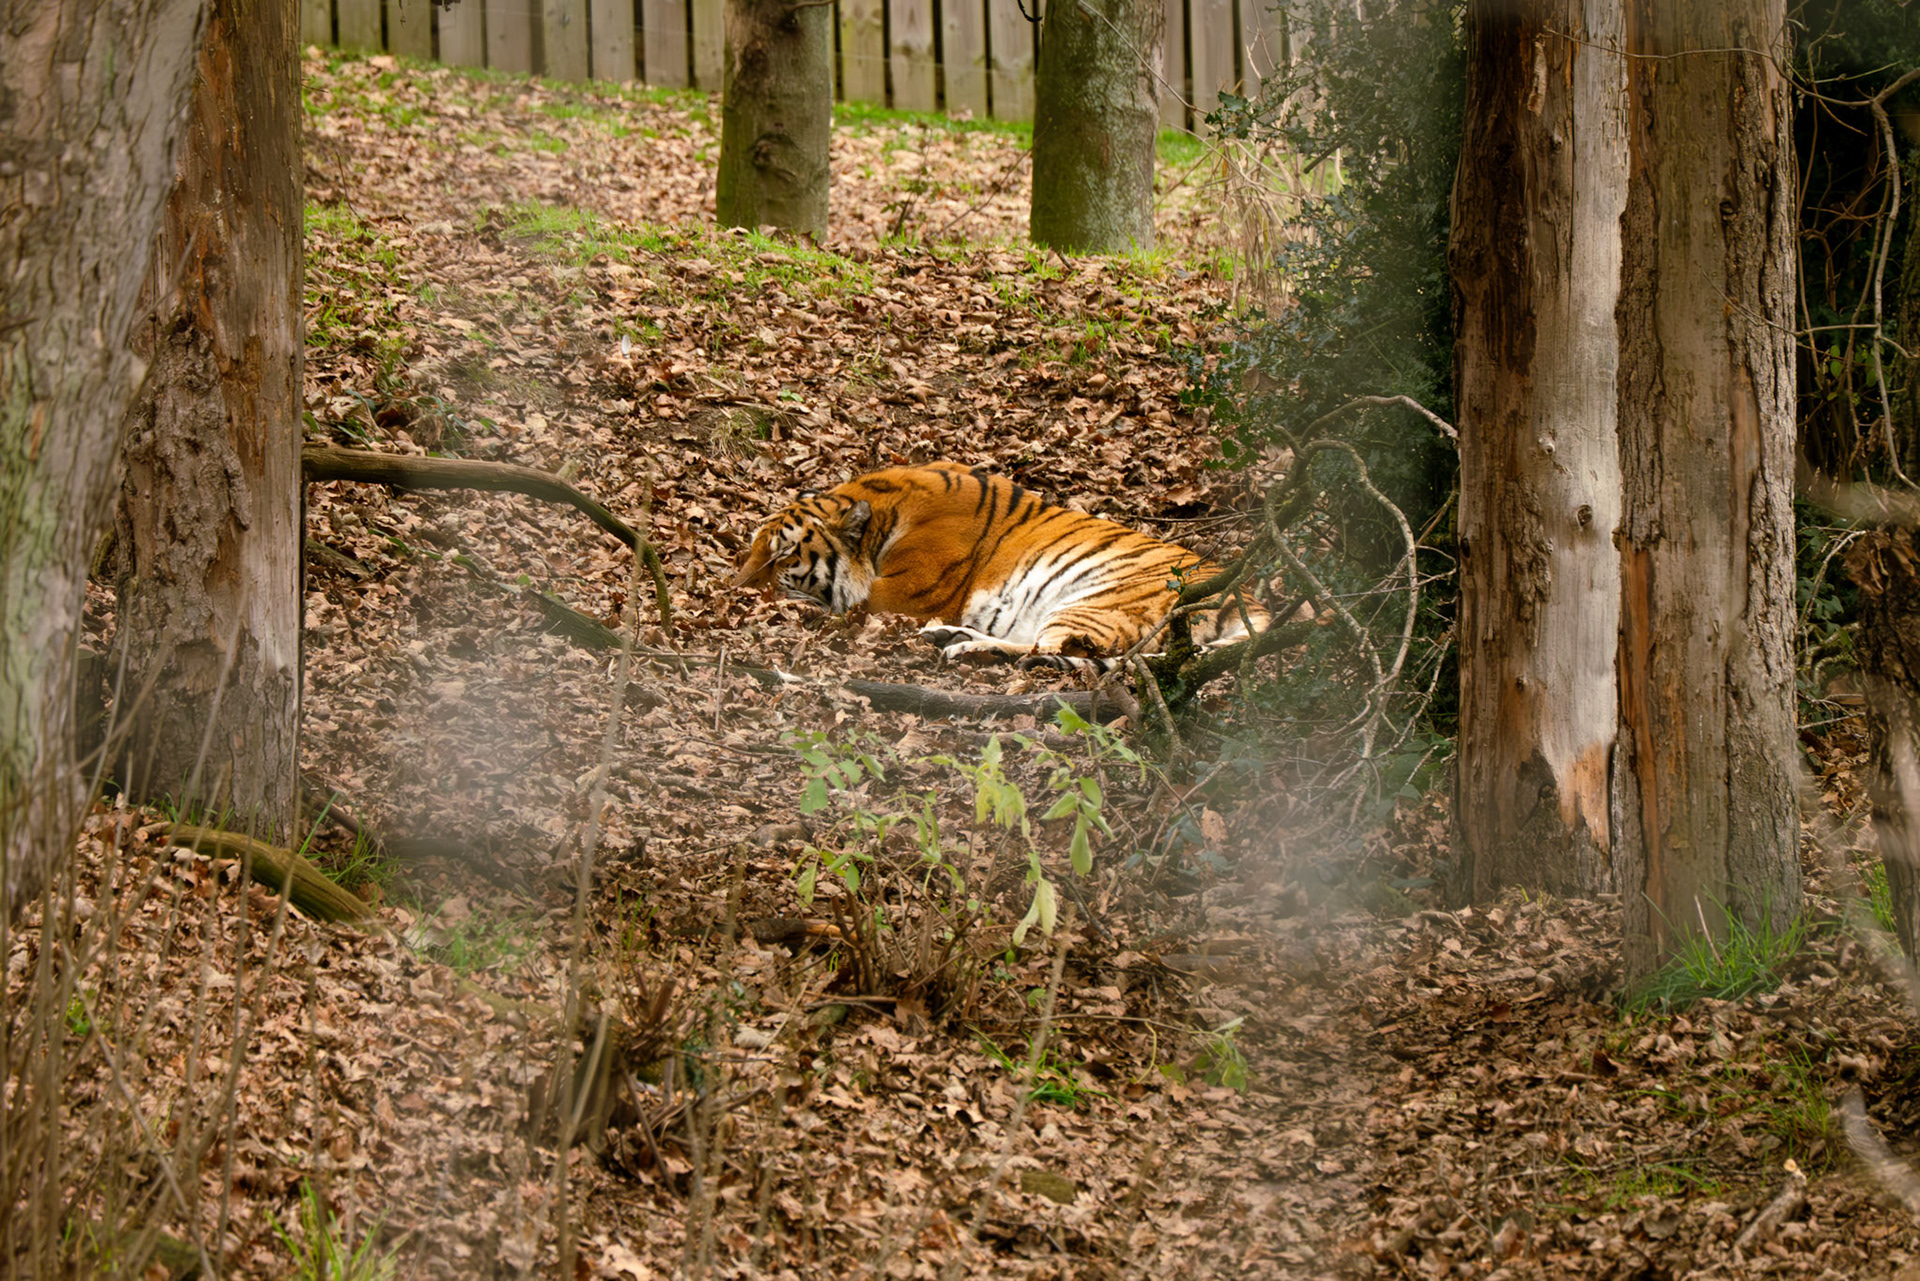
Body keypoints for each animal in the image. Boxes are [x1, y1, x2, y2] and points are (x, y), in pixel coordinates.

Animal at [733, 462, 1267, 670]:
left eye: (783, 556)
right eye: (751, 547)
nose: (734, 591)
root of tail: (1252, 596)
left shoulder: (905, 592)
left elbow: (846, 606)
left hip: (1096, 601)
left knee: (1056, 653)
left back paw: (965, 648)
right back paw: (951, 638)